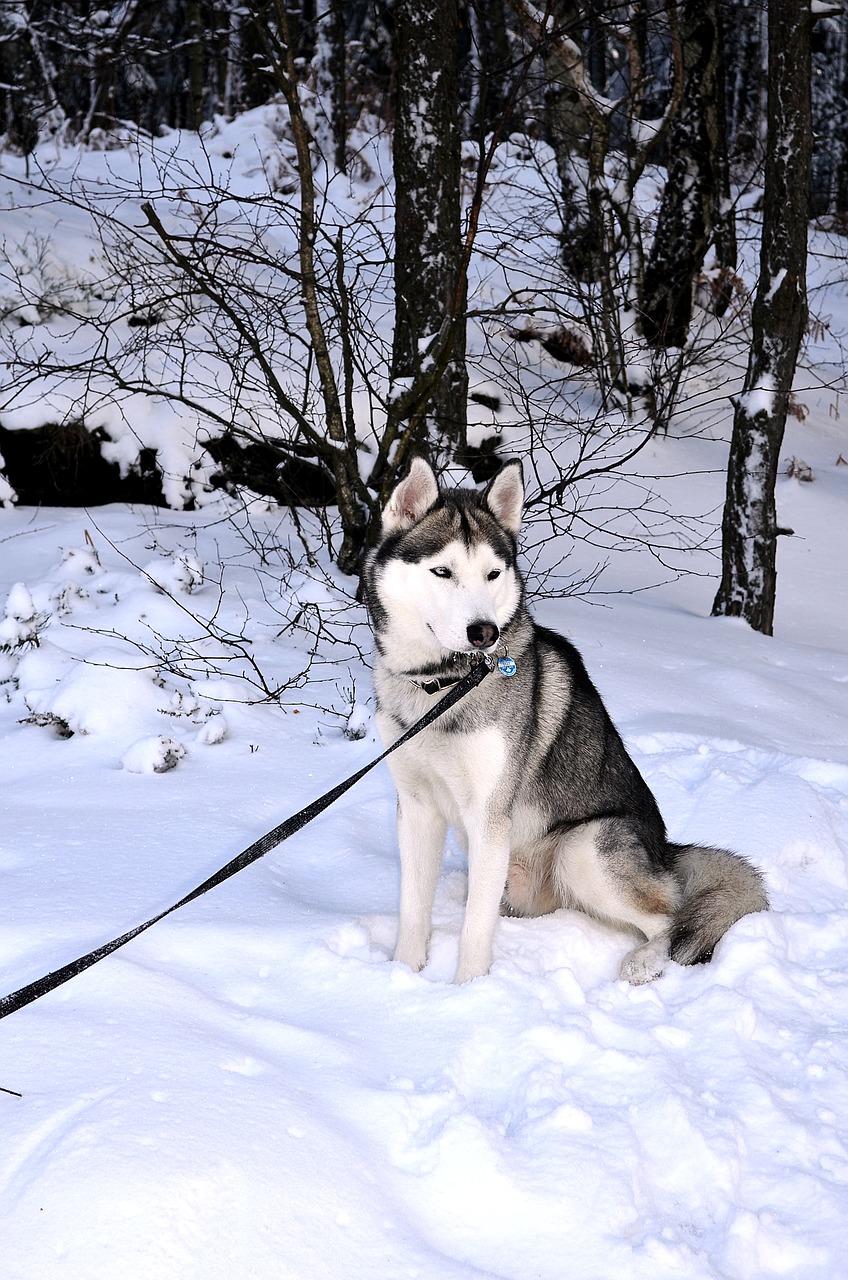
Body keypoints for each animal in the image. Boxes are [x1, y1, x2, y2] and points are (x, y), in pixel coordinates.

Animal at [366, 455, 768, 983]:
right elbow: (414, 909)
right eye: (442, 571)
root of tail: (666, 849)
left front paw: (468, 991)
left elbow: (475, 928)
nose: (484, 632)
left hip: (584, 847)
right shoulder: (416, 806)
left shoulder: (490, 817)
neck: (443, 689)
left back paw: (644, 962)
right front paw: (403, 977)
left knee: (670, 916)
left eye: (492, 574)